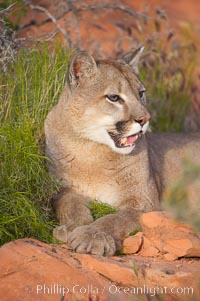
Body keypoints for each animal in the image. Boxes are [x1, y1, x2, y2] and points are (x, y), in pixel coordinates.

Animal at [45, 48, 200, 254]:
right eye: (114, 98)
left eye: (141, 93)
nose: (145, 119)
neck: (90, 150)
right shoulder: (61, 189)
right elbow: (70, 206)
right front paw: (71, 228)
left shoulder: (143, 203)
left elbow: (115, 219)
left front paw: (93, 236)